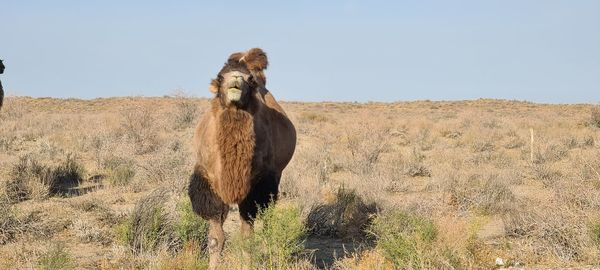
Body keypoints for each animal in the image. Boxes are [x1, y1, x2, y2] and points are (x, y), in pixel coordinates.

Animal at [189, 48, 296, 268]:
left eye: (250, 80)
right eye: (221, 76)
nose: (236, 78)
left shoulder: (256, 185)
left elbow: (247, 238)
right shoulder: (209, 182)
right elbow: (215, 238)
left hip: (275, 178)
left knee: (268, 217)